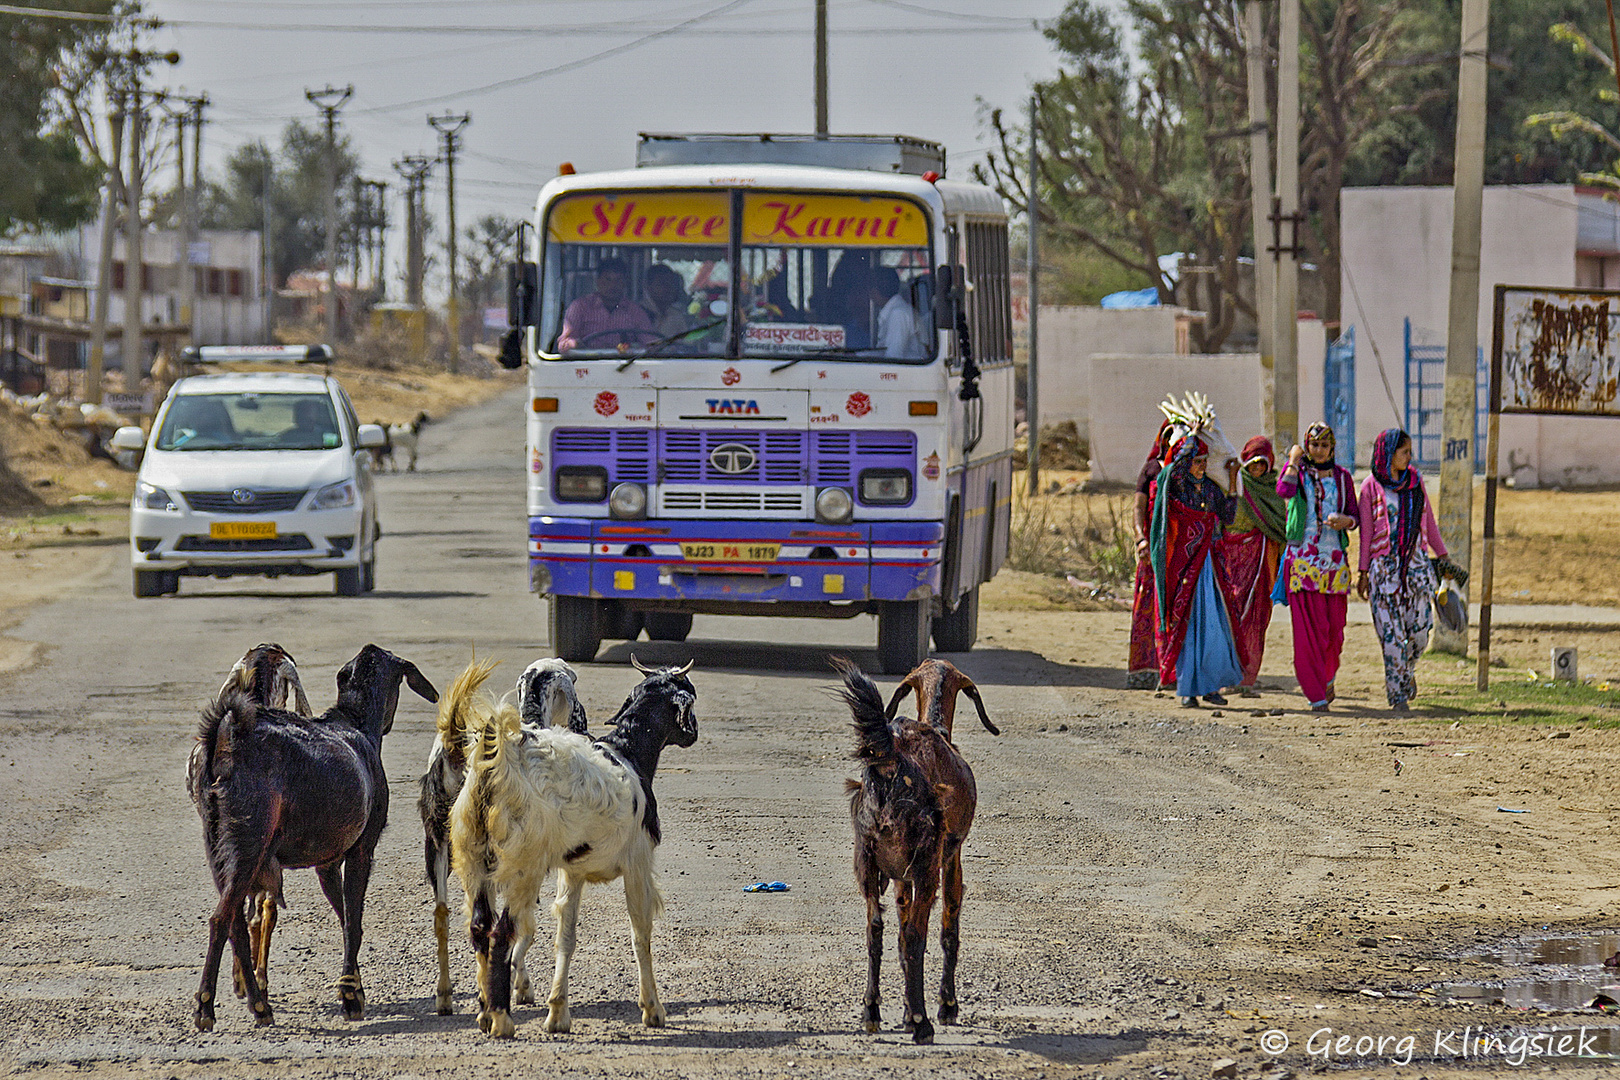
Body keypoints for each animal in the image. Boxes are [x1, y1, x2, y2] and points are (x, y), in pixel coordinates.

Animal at [417, 654, 589, 1016]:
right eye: (573, 680)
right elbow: (522, 927)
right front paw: (521, 987)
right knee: (499, 925)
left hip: (441, 849)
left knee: (445, 916)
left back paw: (446, 995)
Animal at [450, 650, 696, 1036]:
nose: (694, 733)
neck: (629, 753)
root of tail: (498, 759)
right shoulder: (638, 862)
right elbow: (640, 933)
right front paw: (653, 1009)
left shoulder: (573, 870)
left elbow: (565, 937)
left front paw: (558, 1014)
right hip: (522, 868)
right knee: (501, 934)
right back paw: (502, 1019)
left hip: (474, 864)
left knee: (479, 928)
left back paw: (486, 1012)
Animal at [835, 654, 997, 1042]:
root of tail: (891, 762)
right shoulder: (950, 858)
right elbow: (948, 927)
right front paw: (944, 1007)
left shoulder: (898, 878)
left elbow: (897, 929)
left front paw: (908, 1011)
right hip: (927, 865)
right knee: (915, 936)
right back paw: (924, 1024)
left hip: (867, 863)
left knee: (876, 930)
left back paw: (871, 1012)